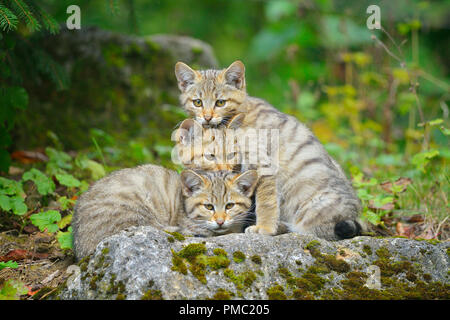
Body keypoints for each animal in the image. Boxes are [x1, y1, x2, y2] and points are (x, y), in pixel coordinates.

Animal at [174, 60, 364, 240]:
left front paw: (264, 228)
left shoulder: (263, 166)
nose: (207, 117)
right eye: (197, 102)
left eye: (220, 102)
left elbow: (266, 201)